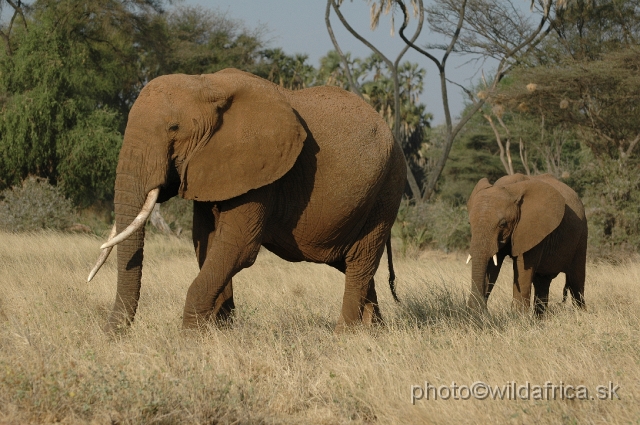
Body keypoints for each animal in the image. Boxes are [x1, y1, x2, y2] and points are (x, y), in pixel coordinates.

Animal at [89, 68, 404, 332]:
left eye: (174, 128)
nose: (108, 336)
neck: (206, 85)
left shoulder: (261, 171)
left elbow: (237, 247)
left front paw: (191, 340)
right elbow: (207, 241)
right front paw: (219, 332)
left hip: (386, 190)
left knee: (359, 262)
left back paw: (345, 336)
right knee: (354, 265)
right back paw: (374, 334)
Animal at [462, 172, 588, 314]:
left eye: (503, 224)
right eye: (470, 223)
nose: (480, 307)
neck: (509, 188)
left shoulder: (532, 228)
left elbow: (522, 268)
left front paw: (519, 316)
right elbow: (492, 266)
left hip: (582, 234)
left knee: (576, 281)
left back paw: (581, 313)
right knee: (542, 282)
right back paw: (540, 317)